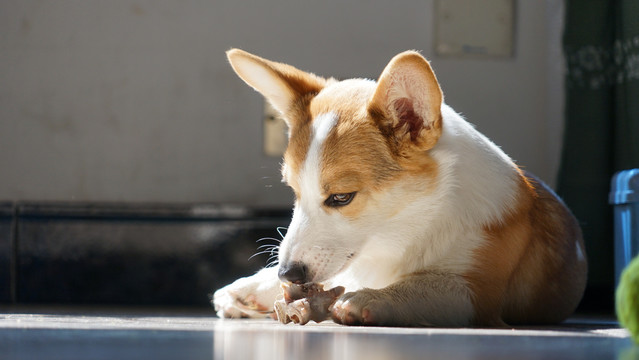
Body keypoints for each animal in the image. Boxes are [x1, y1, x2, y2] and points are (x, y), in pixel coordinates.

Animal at [212, 47, 588, 326]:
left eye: (341, 197)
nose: (288, 274)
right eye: (294, 192)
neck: (408, 227)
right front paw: (258, 286)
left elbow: (424, 285)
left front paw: (374, 298)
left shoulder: (476, 294)